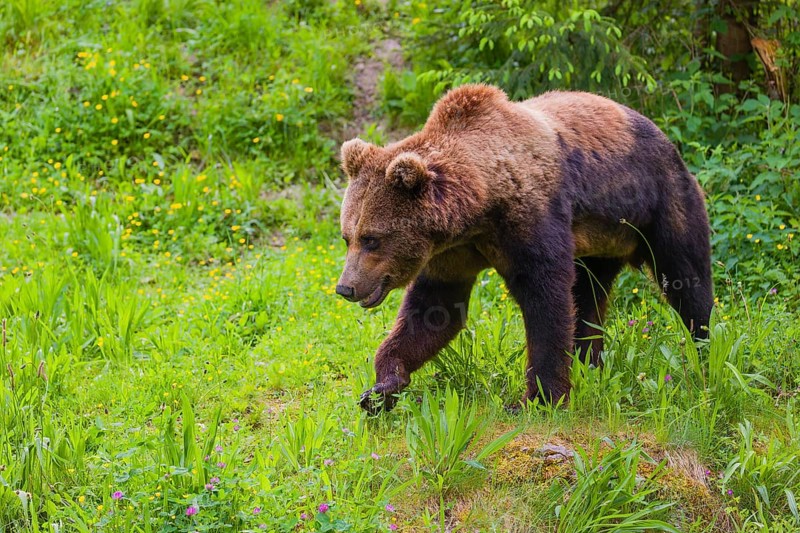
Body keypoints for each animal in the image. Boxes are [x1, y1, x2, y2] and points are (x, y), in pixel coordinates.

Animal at [335, 84, 713, 414]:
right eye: (347, 236)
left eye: (372, 238)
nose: (345, 287)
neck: (480, 206)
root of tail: (665, 137)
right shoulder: (453, 254)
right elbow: (433, 310)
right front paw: (381, 388)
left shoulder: (530, 221)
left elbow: (547, 301)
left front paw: (539, 398)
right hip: (599, 243)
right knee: (590, 296)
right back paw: (590, 363)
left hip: (660, 205)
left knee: (685, 279)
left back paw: (705, 350)